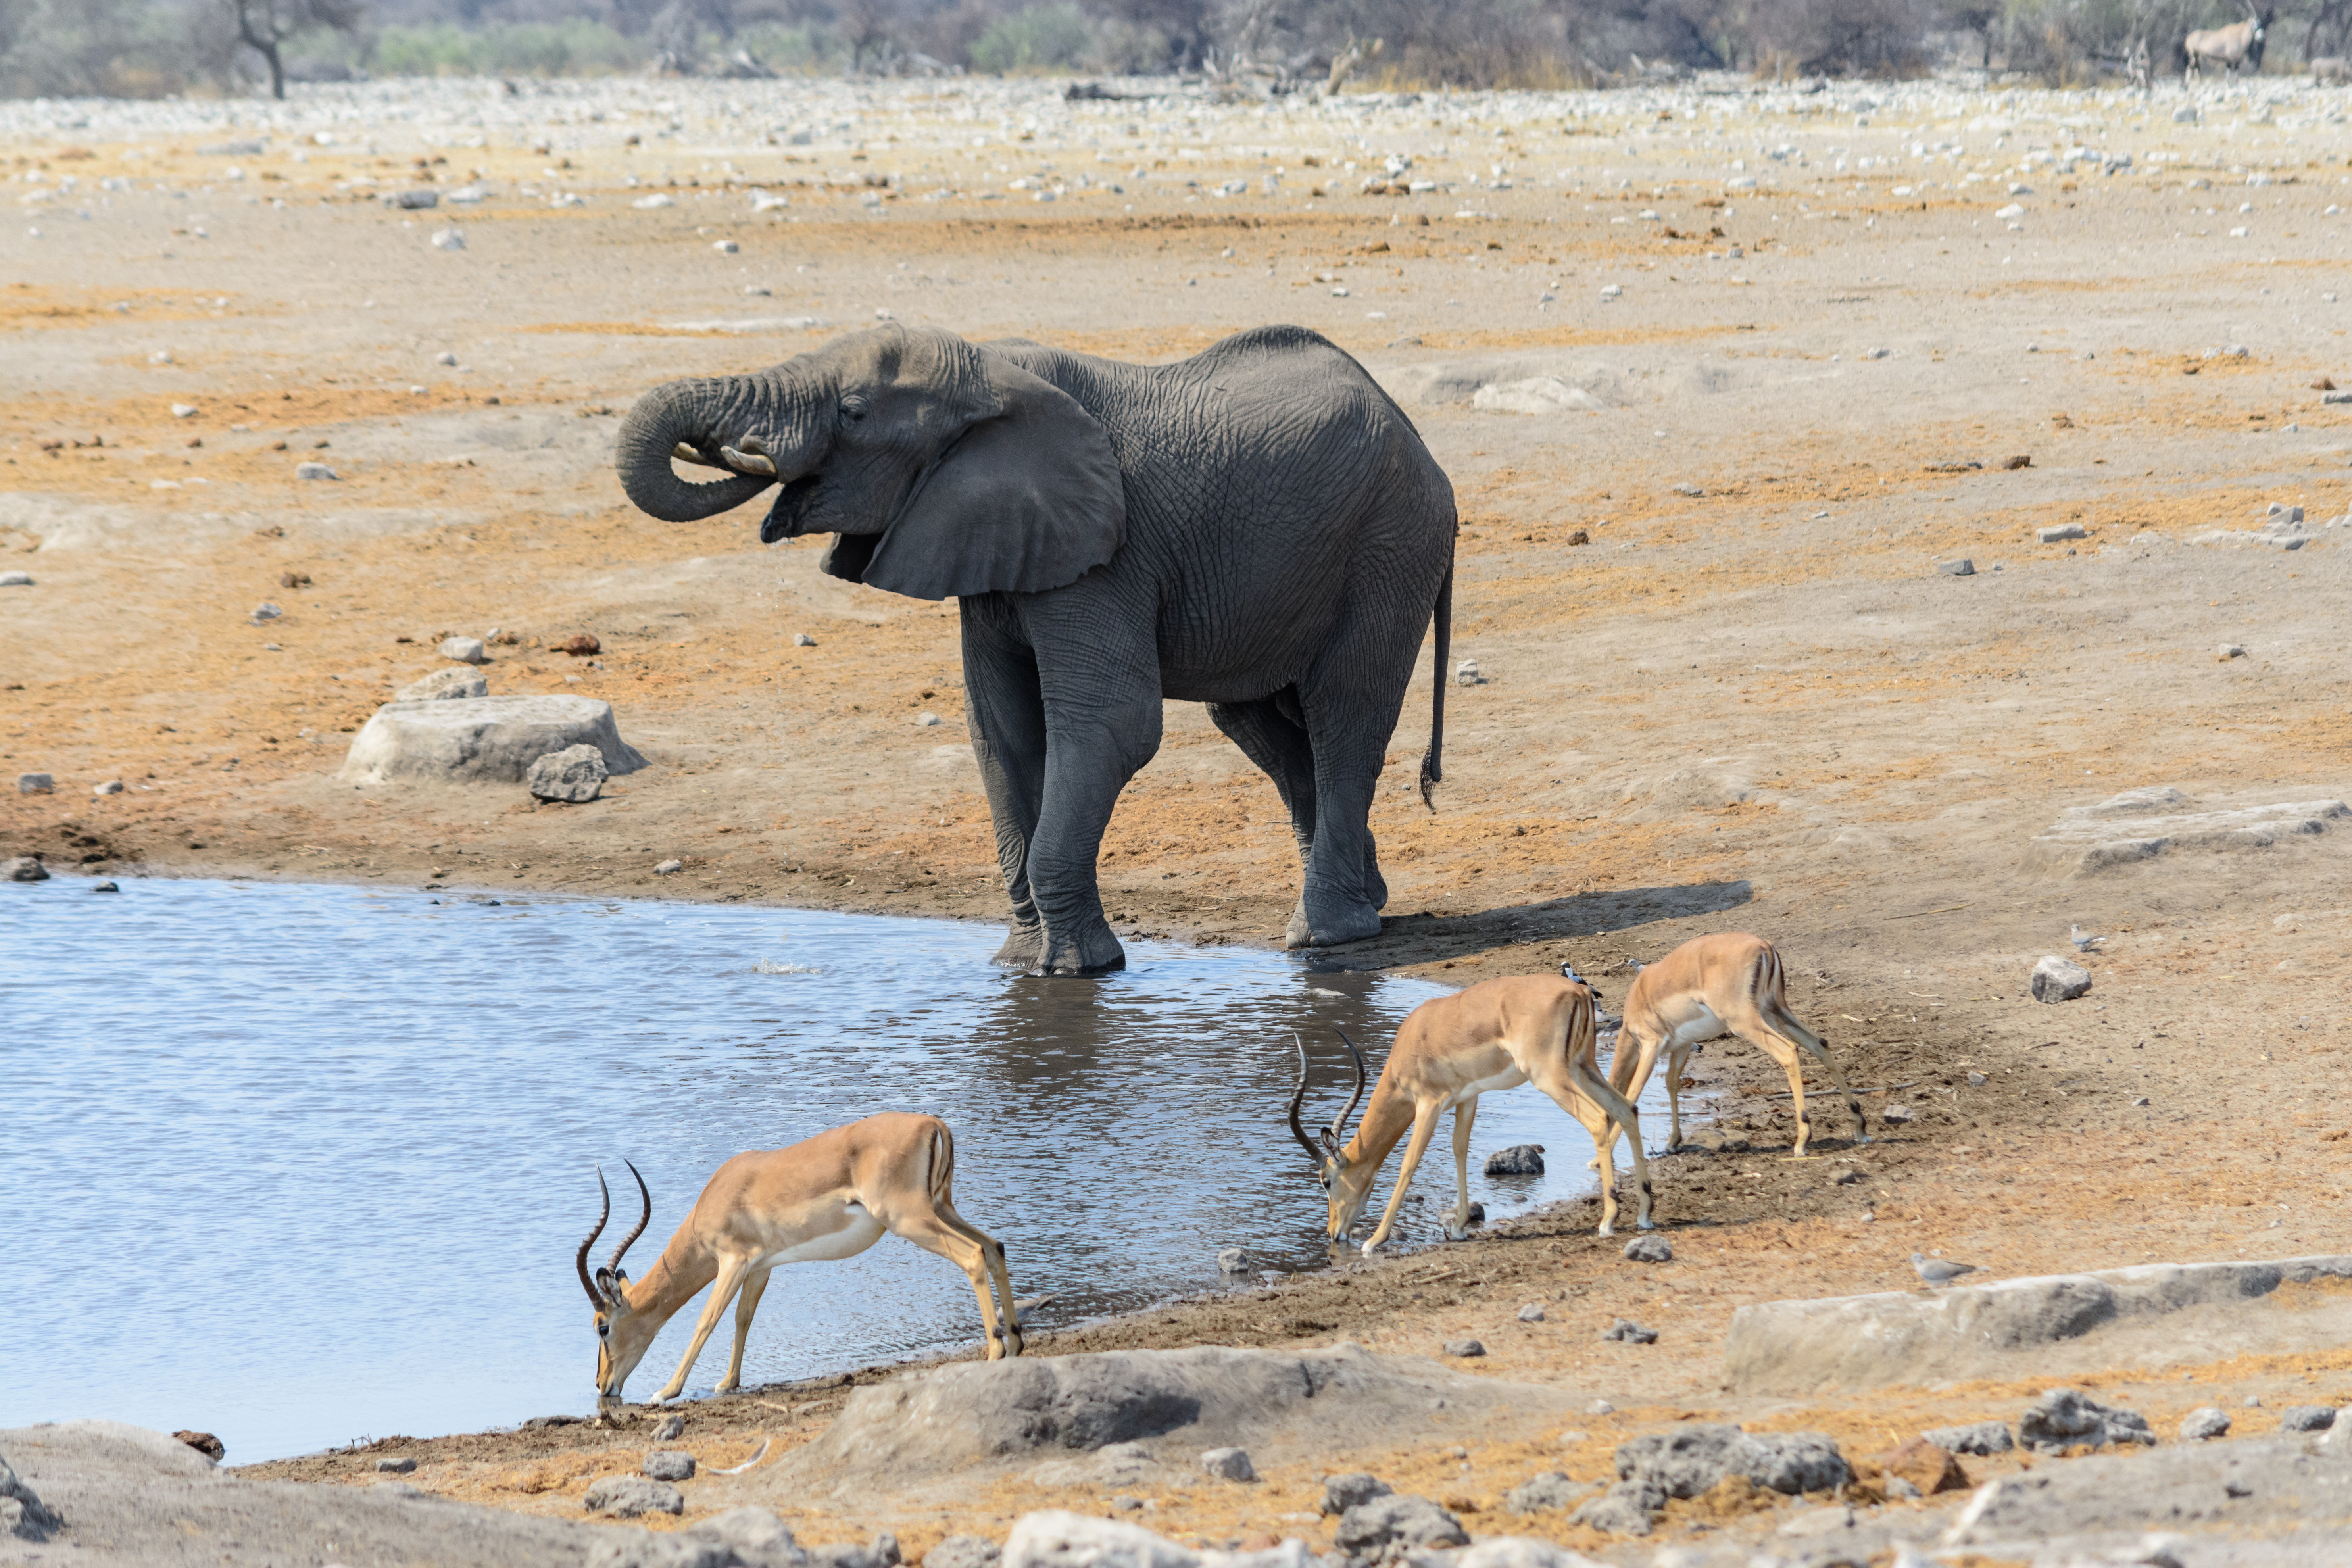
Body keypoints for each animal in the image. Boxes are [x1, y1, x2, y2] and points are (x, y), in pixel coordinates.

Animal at [578, 1114, 1020, 1410]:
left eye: (603, 1327)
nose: (602, 1386)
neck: (721, 1194)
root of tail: (934, 1124)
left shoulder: (733, 1261)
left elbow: (707, 1321)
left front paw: (667, 1391)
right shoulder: (760, 1266)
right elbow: (743, 1318)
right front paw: (728, 1383)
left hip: (910, 1220)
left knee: (973, 1255)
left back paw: (995, 1353)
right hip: (941, 1209)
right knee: (995, 1248)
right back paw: (1015, 1342)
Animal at [607, 324, 1449, 973]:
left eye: (853, 410)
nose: (747, 450)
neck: (987, 373)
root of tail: (1422, 447)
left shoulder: (1106, 553)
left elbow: (1111, 725)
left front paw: (1076, 970)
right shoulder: (991, 546)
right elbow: (1001, 732)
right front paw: (1019, 967)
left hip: (1388, 549)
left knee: (1343, 715)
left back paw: (1324, 936)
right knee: (1257, 723)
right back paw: (1366, 901)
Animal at [1289, 973, 1656, 1260]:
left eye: (1326, 1181)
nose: (1333, 1232)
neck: (1414, 1040)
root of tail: (1578, 992)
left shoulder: (1428, 1104)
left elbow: (1409, 1163)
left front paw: (1374, 1241)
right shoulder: (1468, 1097)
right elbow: (1460, 1149)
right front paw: (1460, 1227)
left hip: (1550, 1078)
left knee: (1598, 1119)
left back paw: (1608, 1221)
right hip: (1583, 1068)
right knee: (1627, 1109)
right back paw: (1644, 1215)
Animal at [1608, 931, 1862, 1166]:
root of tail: (1765, 947)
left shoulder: (1651, 1046)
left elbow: (1632, 1095)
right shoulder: (1682, 1046)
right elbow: (1671, 1083)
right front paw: (1673, 1142)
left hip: (1745, 1022)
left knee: (1788, 1050)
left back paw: (1802, 1142)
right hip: (1775, 1012)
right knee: (1820, 1043)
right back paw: (1860, 1128)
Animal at [2183, 3, 2277, 82]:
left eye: (2259, 23)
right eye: (2253, 24)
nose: (2261, 36)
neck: (2241, 35)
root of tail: (2189, 38)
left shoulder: (2237, 60)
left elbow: (2236, 77)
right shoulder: (2230, 59)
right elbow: (2228, 77)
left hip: (2197, 56)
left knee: (2193, 68)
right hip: (2194, 55)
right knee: (2190, 68)